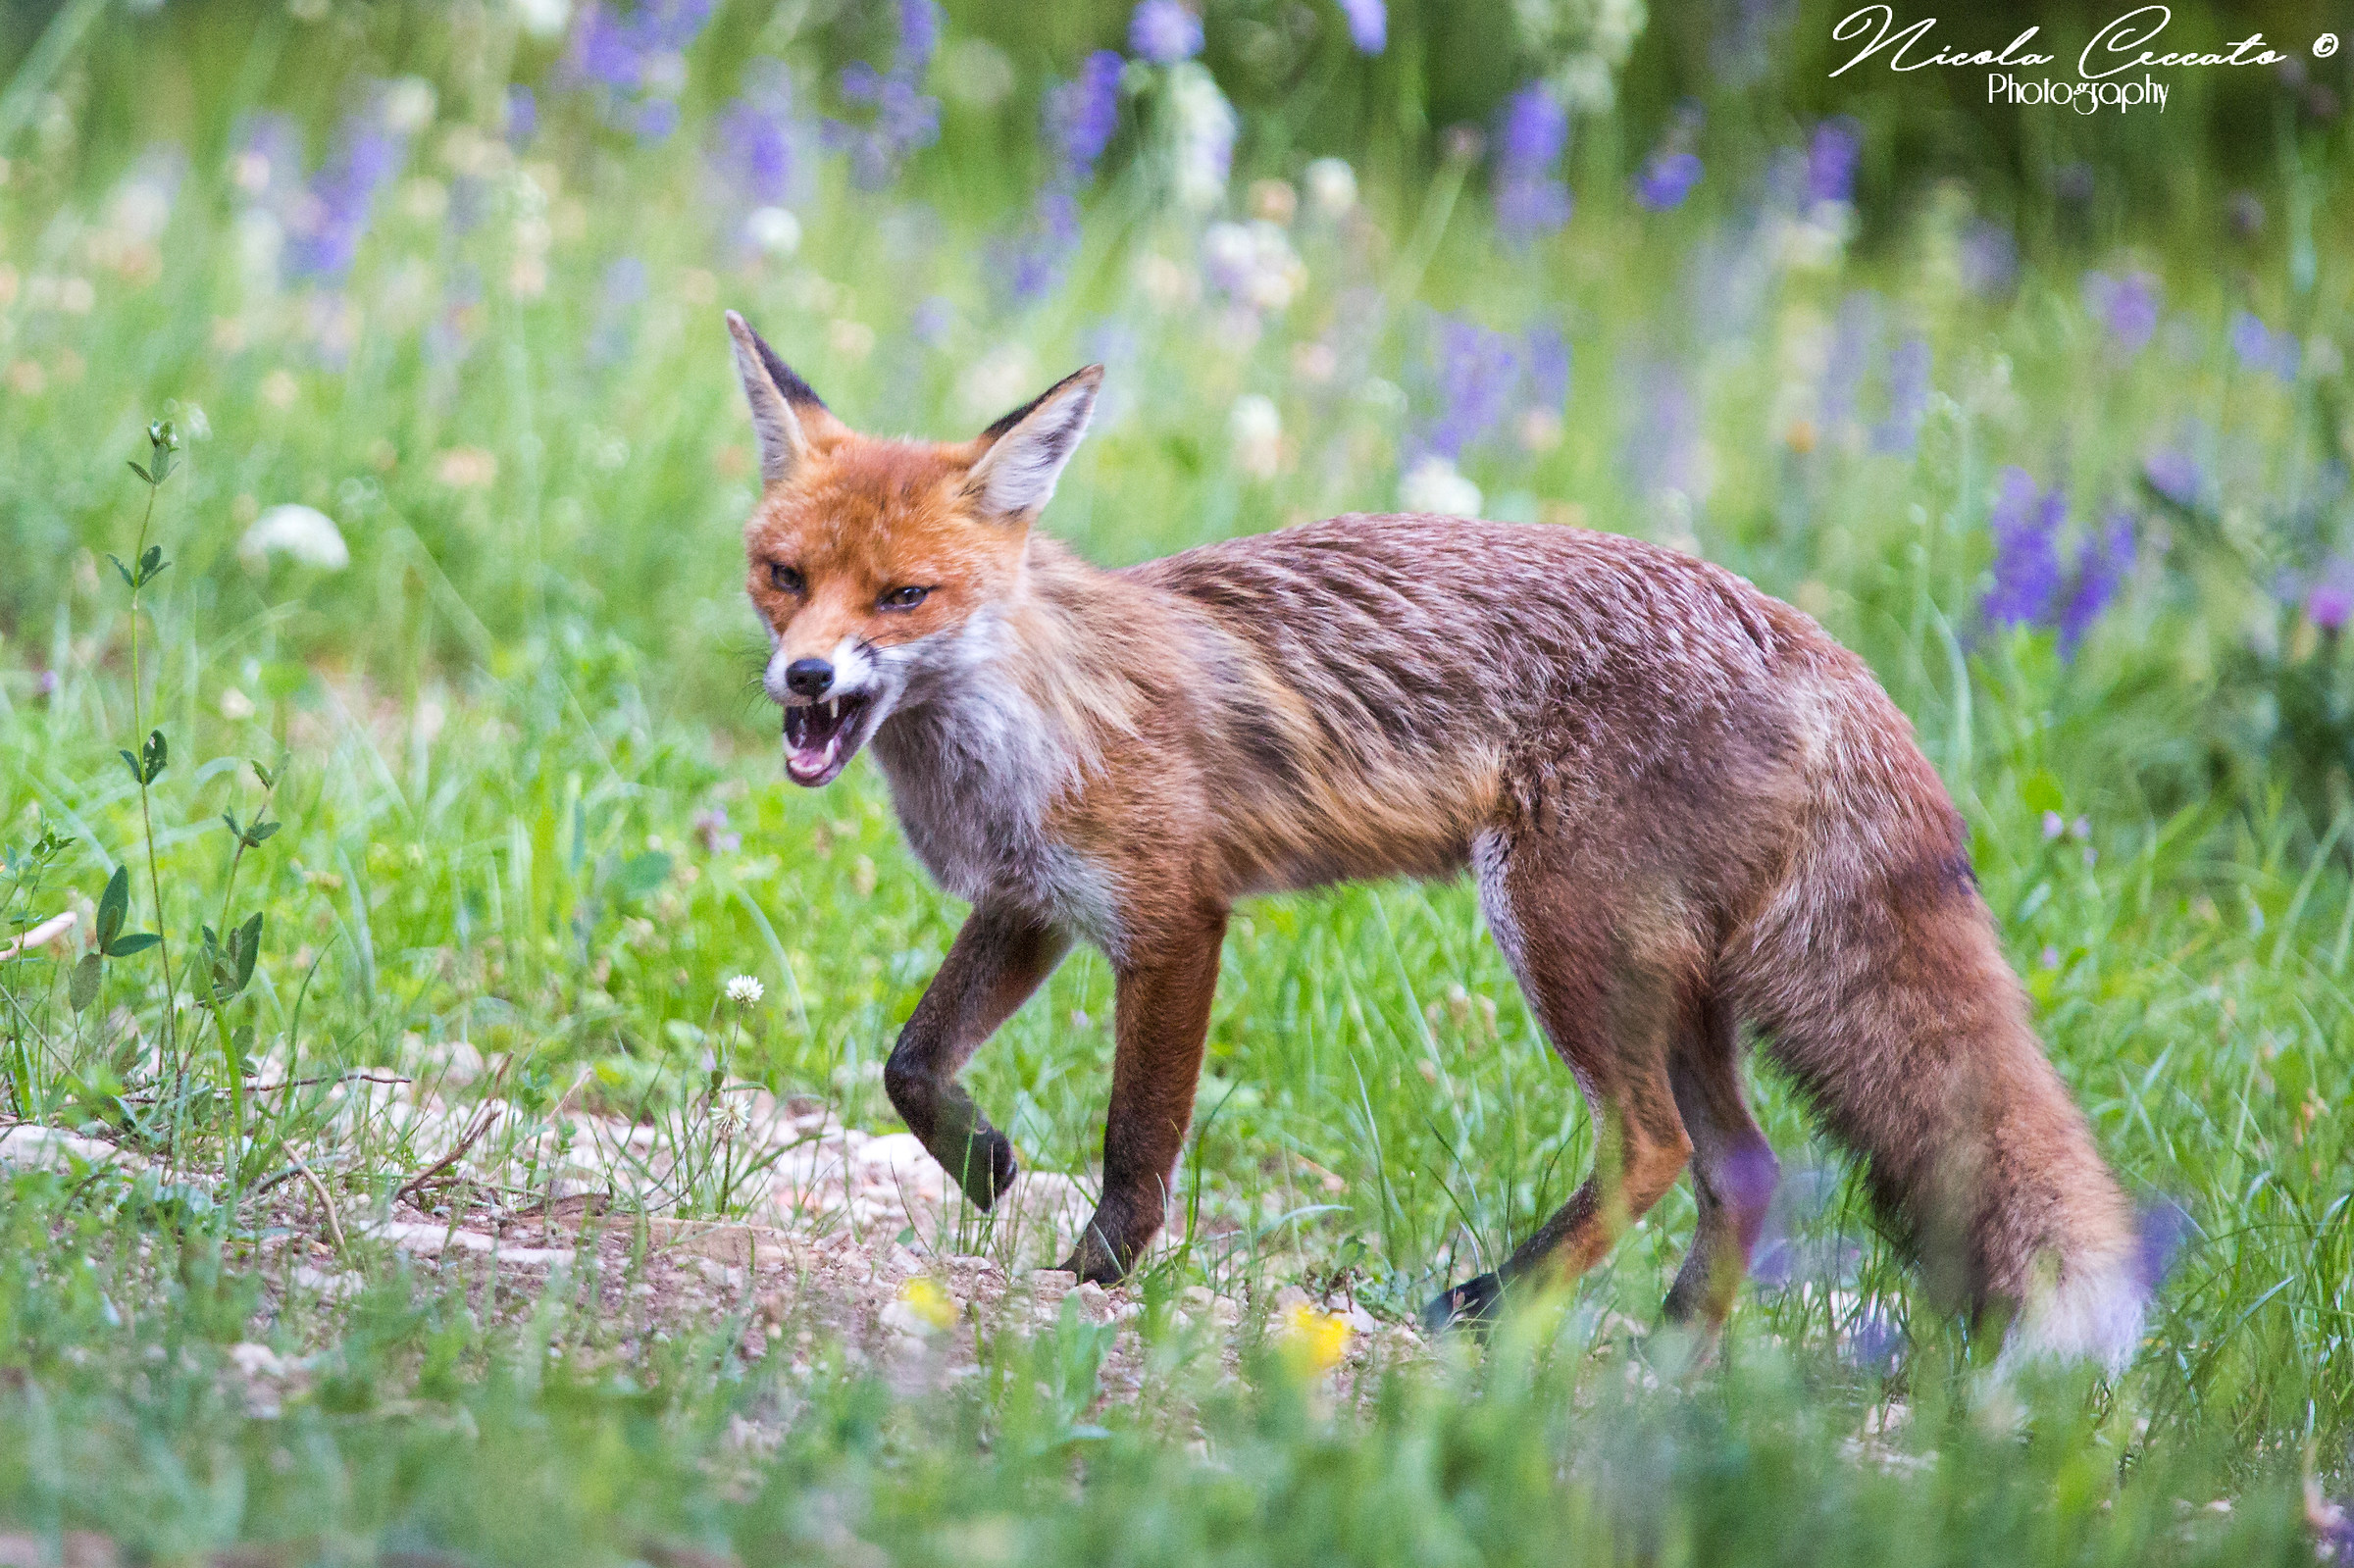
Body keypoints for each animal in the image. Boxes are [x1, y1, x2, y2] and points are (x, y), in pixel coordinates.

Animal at [723, 308, 2147, 1365]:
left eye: (906, 595)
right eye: (785, 575)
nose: (804, 679)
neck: (1017, 719)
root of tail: (1812, 641)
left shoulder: (1175, 918)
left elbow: (1139, 1144)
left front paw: (1095, 1280)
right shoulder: (1033, 902)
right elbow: (910, 1060)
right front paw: (981, 1164)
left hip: (1562, 934)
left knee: (1657, 1146)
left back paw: (1500, 1310)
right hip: (1672, 978)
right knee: (1745, 1169)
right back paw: (1667, 1358)